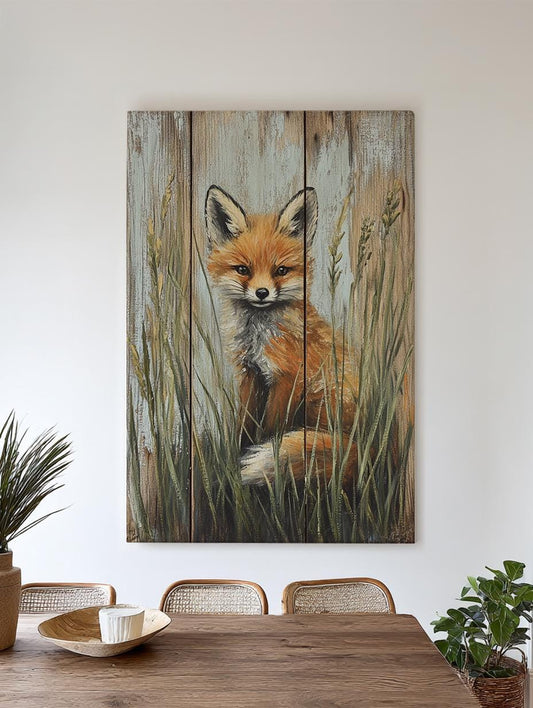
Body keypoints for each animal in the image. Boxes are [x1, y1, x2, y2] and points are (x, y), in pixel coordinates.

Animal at [205, 185, 358, 486]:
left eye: (281, 271)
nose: (262, 293)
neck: (258, 336)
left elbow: (271, 429)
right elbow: (244, 425)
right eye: (243, 270)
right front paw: (238, 453)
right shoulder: (250, 374)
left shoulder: (288, 376)